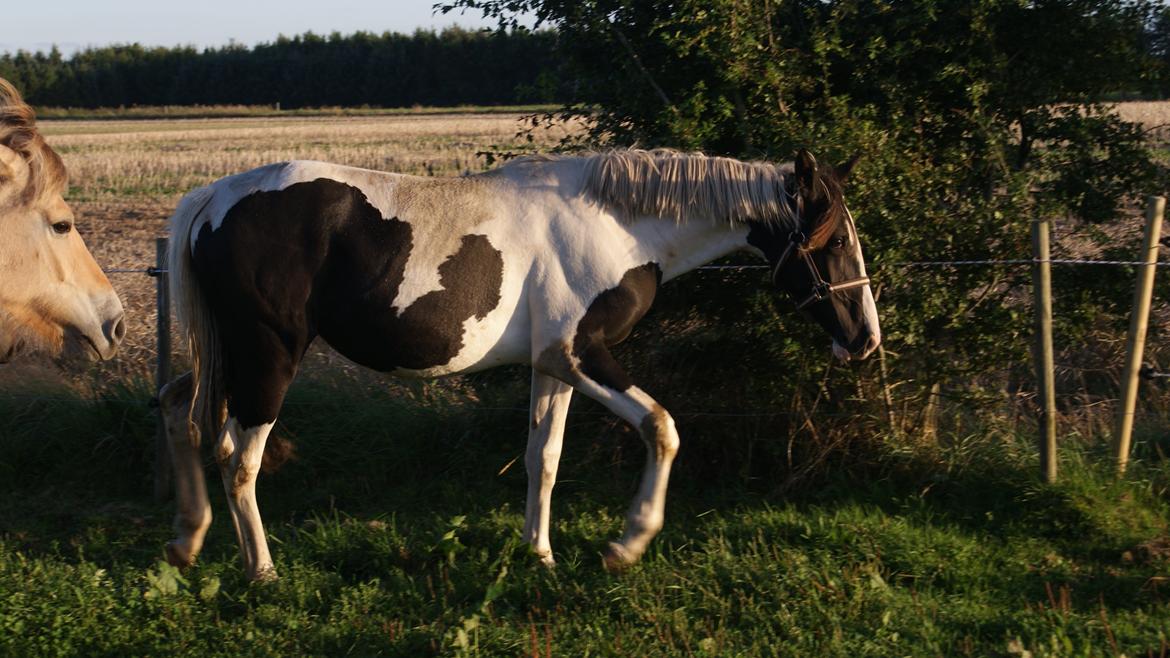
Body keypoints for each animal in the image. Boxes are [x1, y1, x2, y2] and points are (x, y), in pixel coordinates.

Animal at [162, 147, 879, 573]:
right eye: (835, 239)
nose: (865, 339)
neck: (617, 224)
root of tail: (212, 199)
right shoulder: (581, 354)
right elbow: (662, 427)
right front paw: (627, 544)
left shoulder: (551, 365)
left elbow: (544, 459)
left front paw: (541, 553)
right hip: (269, 356)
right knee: (238, 458)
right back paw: (260, 569)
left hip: (230, 355)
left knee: (181, 414)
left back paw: (189, 538)